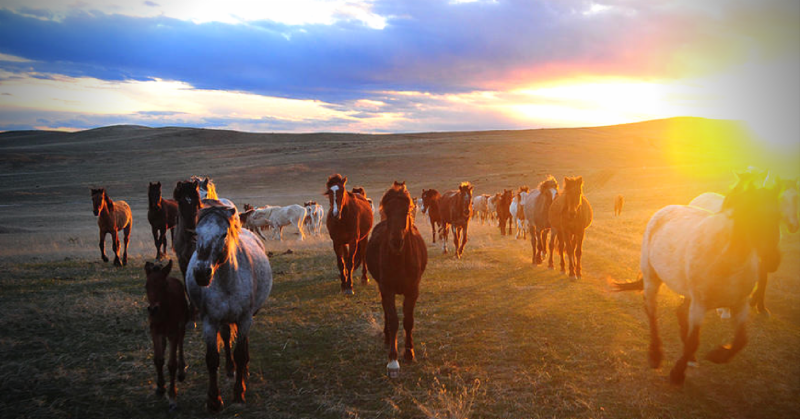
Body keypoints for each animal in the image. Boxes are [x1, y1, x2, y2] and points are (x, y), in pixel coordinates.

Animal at [144, 259, 189, 412]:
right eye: (146, 285)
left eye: (163, 285)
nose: (153, 309)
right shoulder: (154, 331)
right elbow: (158, 359)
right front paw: (160, 387)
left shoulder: (173, 333)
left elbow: (171, 364)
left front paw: (172, 397)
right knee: (163, 346)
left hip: (182, 323)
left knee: (181, 341)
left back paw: (181, 371)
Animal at [185, 201, 272, 411]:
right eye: (196, 233)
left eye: (224, 234)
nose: (201, 273)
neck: (227, 281)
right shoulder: (210, 322)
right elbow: (212, 359)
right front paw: (214, 400)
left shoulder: (244, 318)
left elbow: (240, 353)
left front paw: (239, 393)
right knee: (225, 337)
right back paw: (230, 369)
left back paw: (244, 370)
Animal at [366, 181, 427, 378]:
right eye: (387, 209)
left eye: (407, 210)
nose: (396, 241)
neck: (400, 259)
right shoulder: (387, 289)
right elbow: (393, 320)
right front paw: (393, 361)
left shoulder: (413, 291)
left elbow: (408, 320)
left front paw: (409, 352)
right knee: (386, 312)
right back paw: (387, 338)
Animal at [614, 182, 782, 386]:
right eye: (748, 216)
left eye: (778, 216)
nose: (773, 260)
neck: (726, 261)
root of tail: (664, 210)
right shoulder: (700, 305)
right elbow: (695, 340)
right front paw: (677, 374)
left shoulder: (740, 304)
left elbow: (741, 340)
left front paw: (717, 355)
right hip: (652, 277)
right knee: (651, 310)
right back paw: (655, 355)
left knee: (679, 312)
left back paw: (690, 358)